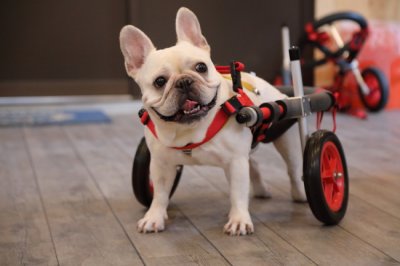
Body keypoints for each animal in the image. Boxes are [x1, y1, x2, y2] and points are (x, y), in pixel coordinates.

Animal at [119, 6, 306, 235]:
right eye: (160, 81)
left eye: (201, 67)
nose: (184, 81)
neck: (190, 130)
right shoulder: (161, 164)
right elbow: (160, 194)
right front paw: (154, 217)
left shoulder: (235, 163)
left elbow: (237, 193)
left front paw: (239, 220)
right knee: (253, 163)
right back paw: (262, 189)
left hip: (287, 140)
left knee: (293, 170)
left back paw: (301, 195)